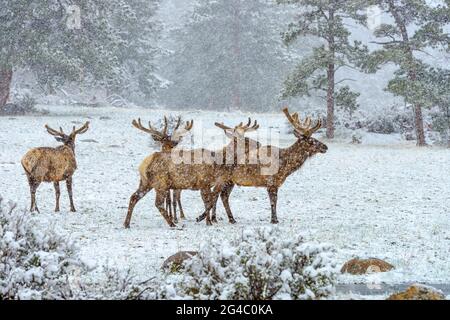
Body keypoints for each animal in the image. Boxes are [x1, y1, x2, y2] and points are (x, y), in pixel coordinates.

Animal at [197, 107, 326, 222]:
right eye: (310, 141)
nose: (325, 147)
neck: (285, 165)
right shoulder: (271, 181)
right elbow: (273, 201)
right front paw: (274, 220)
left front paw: (274, 219)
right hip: (222, 178)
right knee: (215, 194)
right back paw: (205, 217)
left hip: (230, 181)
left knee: (222, 196)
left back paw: (230, 218)